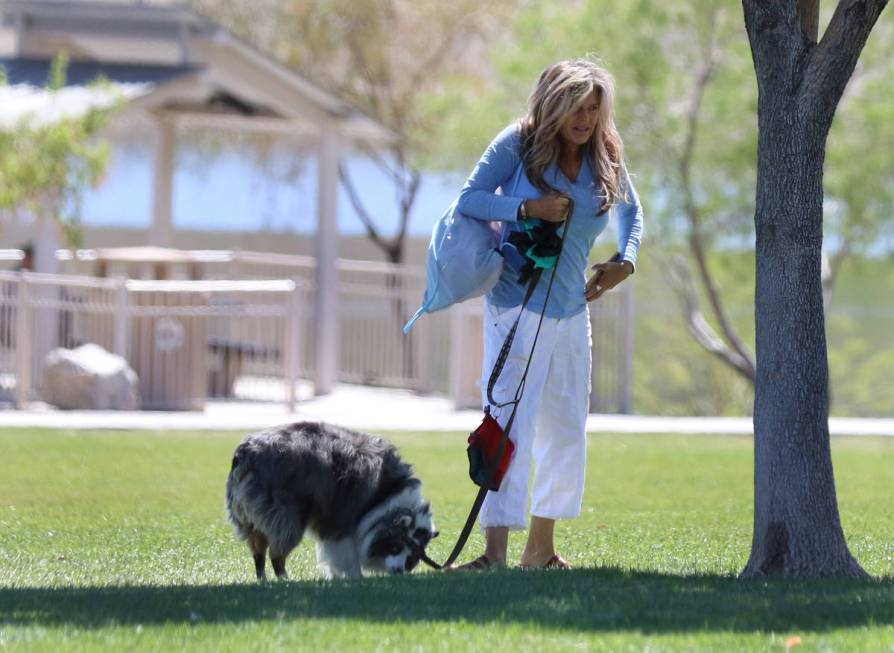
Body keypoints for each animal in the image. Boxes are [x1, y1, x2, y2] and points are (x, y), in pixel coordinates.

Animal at [223, 420, 434, 580]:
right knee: (277, 553)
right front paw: (354, 577)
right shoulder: (343, 517)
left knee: (258, 552)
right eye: (395, 546)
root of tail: (247, 453)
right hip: (287, 517)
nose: (400, 572)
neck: (384, 497)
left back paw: (263, 580)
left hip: (253, 518)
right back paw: (285, 579)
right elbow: (345, 553)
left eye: (411, 555)